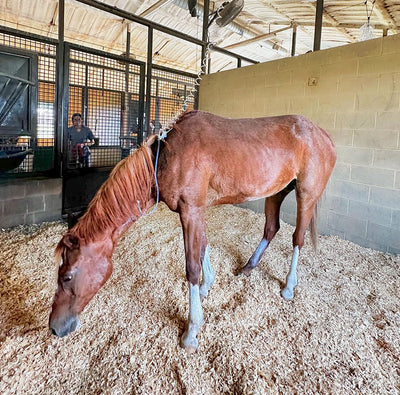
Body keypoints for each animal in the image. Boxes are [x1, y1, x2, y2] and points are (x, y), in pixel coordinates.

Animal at [50, 110, 338, 352]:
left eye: (67, 276)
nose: (55, 327)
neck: (166, 157)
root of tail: (324, 135)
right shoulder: (196, 212)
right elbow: (203, 247)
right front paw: (206, 287)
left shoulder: (190, 211)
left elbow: (192, 266)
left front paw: (191, 331)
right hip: (276, 192)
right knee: (271, 228)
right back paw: (248, 267)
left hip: (305, 195)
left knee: (297, 238)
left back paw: (289, 286)